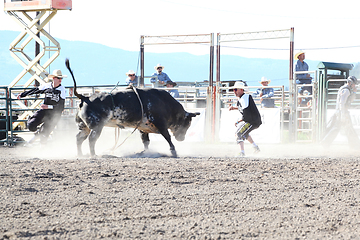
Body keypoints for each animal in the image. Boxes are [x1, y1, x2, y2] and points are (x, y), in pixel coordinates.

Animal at [65, 59, 200, 158]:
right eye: (188, 123)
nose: (182, 139)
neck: (165, 103)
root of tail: (85, 97)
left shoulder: (143, 128)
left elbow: (146, 141)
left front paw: (146, 152)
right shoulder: (160, 123)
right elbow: (167, 137)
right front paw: (174, 152)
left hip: (84, 126)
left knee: (79, 138)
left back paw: (81, 154)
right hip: (97, 126)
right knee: (92, 139)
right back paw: (94, 155)